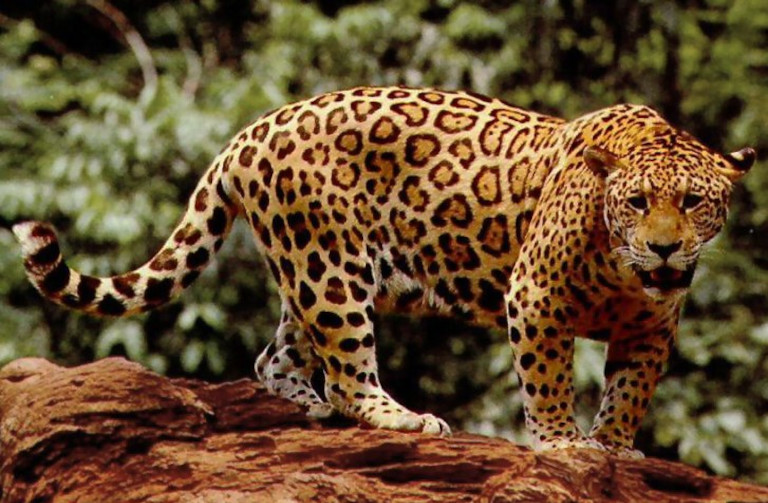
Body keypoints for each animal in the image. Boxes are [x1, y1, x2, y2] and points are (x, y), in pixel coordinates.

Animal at [13, 86, 754, 458]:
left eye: (693, 202)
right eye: (637, 202)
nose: (664, 249)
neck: (624, 268)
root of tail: (249, 132)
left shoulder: (651, 326)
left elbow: (630, 390)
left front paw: (617, 447)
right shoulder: (535, 294)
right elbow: (548, 379)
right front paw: (563, 445)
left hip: (308, 271)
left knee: (275, 355)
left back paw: (307, 407)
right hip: (331, 270)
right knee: (346, 371)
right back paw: (402, 418)